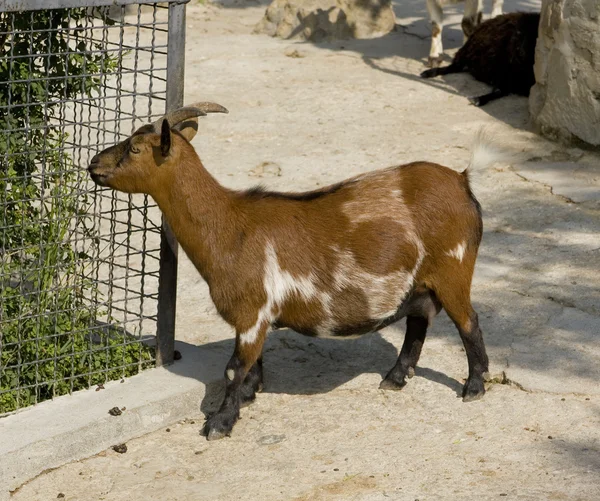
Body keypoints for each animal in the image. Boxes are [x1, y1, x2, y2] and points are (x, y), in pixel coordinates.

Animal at [88, 103, 492, 440]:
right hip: (421, 282)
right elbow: (252, 364)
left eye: (135, 148)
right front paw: (249, 395)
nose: (93, 165)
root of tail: (462, 180)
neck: (229, 224)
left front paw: (220, 423)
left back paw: (474, 386)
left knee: (468, 321)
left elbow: (234, 368)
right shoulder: (255, 317)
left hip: (453, 270)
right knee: (419, 321)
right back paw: (395, 379)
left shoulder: (252, 311)